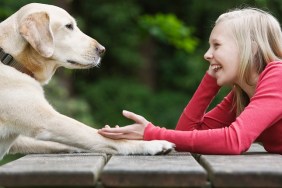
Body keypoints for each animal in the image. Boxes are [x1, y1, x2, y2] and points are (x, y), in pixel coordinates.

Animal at [0, 2, 174, 159]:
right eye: (69, 26)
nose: (102, 50)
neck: (11, 58)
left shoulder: (19, 140)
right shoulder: (48, 121)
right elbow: (101, 136)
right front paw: (152, 144)